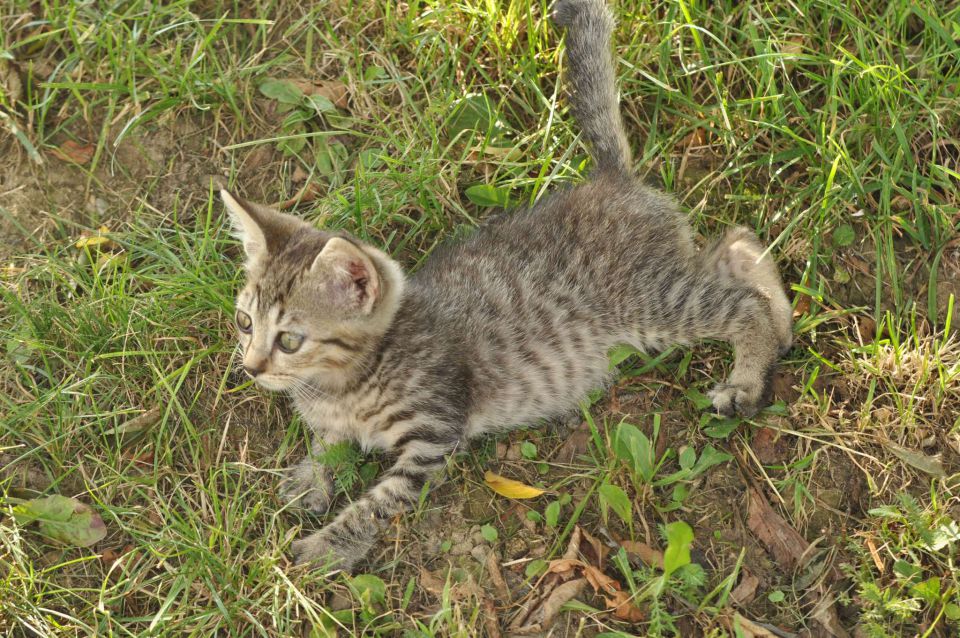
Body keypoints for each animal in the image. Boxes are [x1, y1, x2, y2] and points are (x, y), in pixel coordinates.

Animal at [221, 0, 792, 568]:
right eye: (244, 322)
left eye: (289, 339)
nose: (250, 368)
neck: (343, 382)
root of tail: (609, 180)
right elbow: (328, 445)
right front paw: (310, 476)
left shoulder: (434, 433)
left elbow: (379, 502)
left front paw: (328, 545)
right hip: (664, 279)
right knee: (738, 241)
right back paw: (784, 324)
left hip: (649, 303)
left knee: (741, 301)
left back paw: (748, 378)